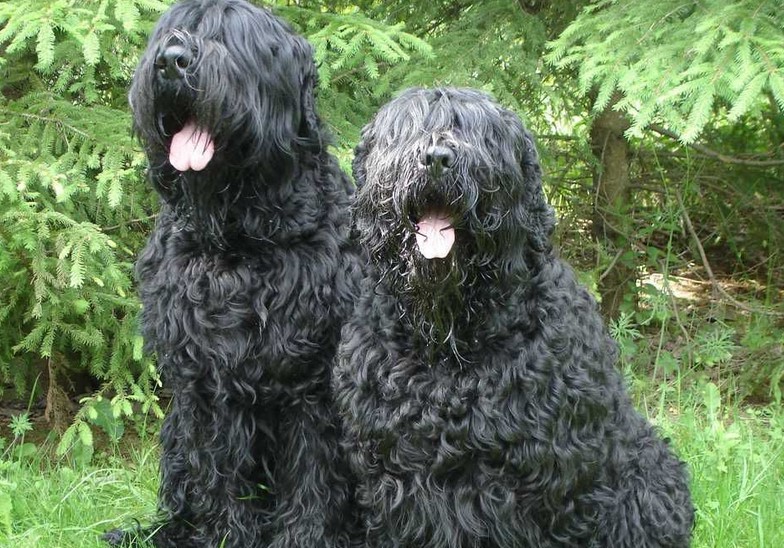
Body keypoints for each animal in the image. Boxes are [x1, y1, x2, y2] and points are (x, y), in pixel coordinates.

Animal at [103, 2, 362, 544]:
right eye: (169, 33)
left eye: (229, 38)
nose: (172, 61)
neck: (239, 240)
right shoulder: (202, 384)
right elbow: (217, 482)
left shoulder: (310, 381)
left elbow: (311, 483)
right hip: (175, 434)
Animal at [336, 86, 692, 548]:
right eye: (406, 130)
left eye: (481, 135)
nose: (436, 158)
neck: (450, 339)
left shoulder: (547, 482)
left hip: (649, 473)